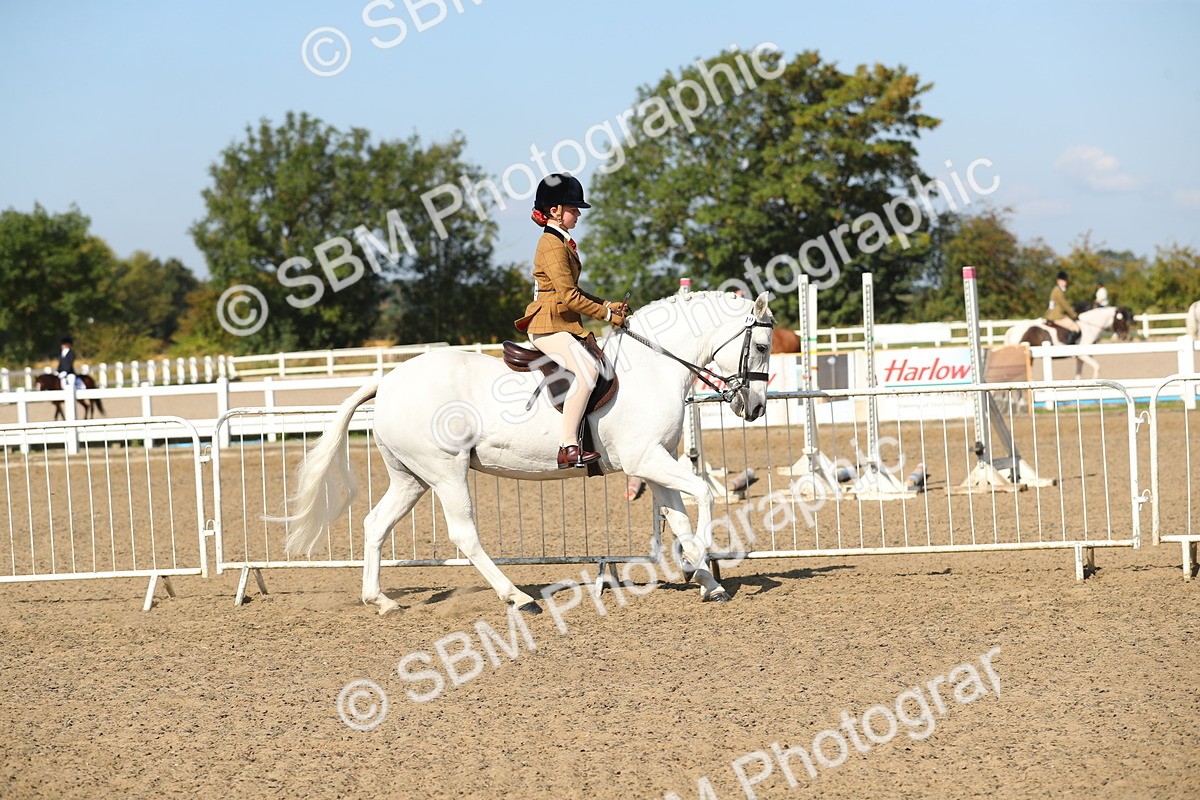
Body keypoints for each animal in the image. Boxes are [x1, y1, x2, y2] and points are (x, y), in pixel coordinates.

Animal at [280, 291, 775, 615]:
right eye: (763, 345)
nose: (754, 408)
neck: (653, 368)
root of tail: (387, 381)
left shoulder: (656, 464)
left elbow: (679, 518)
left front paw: (705, 579)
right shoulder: (644, 459)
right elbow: (704, 496)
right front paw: (702, 562)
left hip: (412, 478)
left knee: (375, 524)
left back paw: (379, 600)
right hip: (445, 473)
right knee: (464, 535)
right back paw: (517, 597)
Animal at [1002, 305, 1134, 379]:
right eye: (1119, 319)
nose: (1124, 336)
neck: (1089, 327)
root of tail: (1012, 330)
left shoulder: (1080, 358)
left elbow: (1078, 374)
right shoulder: (1083, 355)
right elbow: (1097, 367)